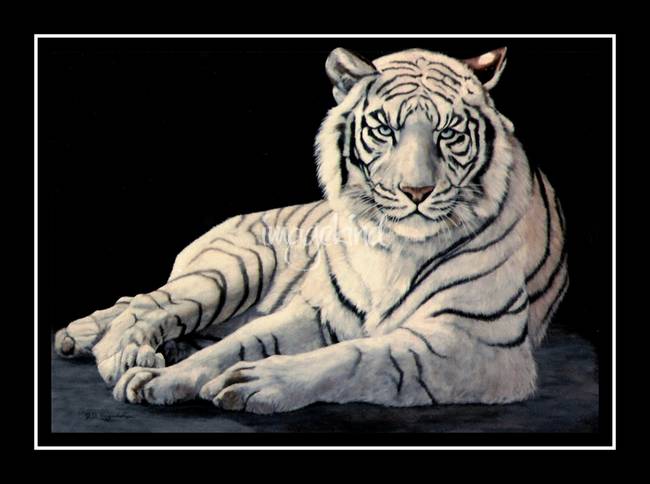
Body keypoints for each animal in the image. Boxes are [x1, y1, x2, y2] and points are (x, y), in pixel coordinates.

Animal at [54, 46, 568, 414]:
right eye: (384, 129)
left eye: (449, 133)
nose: (416, 191)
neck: (393, 246)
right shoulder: (323, 312)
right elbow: (246, 340)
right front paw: (159, 378)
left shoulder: (477, 344)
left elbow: (361, 357)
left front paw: (254, 381)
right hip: (232, 271)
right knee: (143, 304)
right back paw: (116, 353)